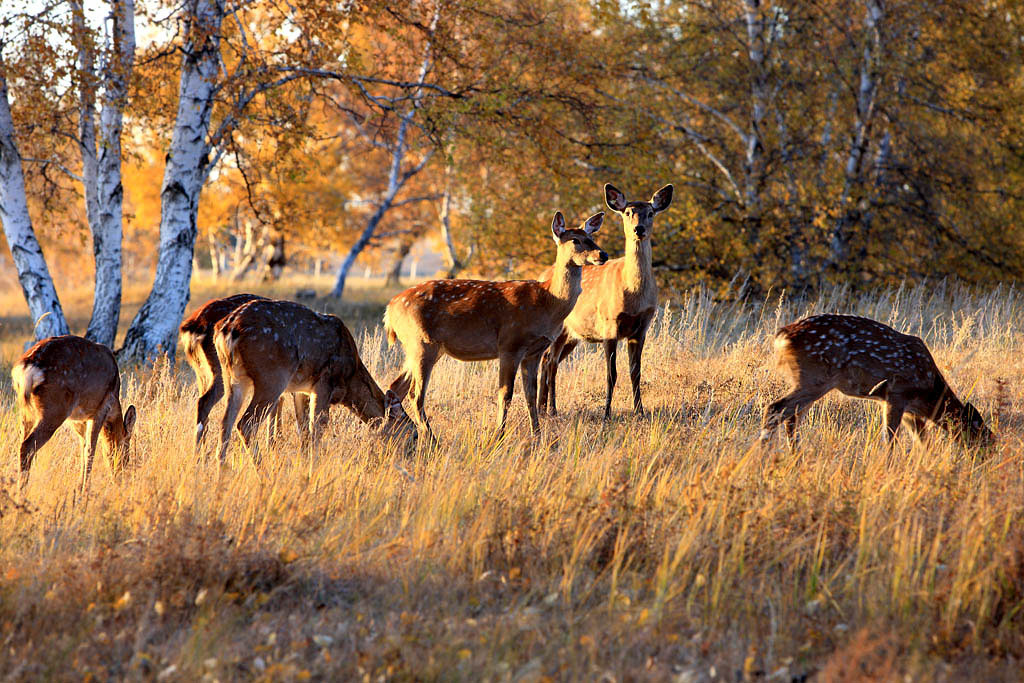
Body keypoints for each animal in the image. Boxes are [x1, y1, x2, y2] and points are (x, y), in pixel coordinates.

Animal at [11, 335, 137, 497]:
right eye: (127, 450)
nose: (121, 476)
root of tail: (26, 370)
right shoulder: (101, 408)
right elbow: (91, 449)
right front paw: (85, 490)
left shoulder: (78, 419)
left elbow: (83, 447)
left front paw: (78, 487)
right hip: (55, 409)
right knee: (27, 446)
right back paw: (22, 493)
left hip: (26, 411)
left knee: (22, 442)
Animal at [212, 296, 415, 462]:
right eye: (412, 433)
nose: (416, 454)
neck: (350, 379)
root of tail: (228, 330)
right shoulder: (325, 381)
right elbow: (317, 428)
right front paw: (311, 469)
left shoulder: (302, 389)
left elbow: (303, 430)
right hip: (272, 376)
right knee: (245, 425)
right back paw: (263, 474)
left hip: (232, 377)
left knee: (225, 423)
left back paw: (221, 476)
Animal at [385, 210, 606, 440]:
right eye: (575, 240)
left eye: (592, 237)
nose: (603, 255)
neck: (547, 301)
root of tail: (390, 309)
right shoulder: (510, 343)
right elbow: (505, 393)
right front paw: (498, 435)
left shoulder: (534, 352)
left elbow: (530, 394)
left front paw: (537, 435)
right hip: (421, 342)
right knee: (415, 393)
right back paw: (431, 437)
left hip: (424, 348)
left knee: (395, 387)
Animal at [536, 181, 671, 417]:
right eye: (628, 212)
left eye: (651, 212)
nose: (639, 229)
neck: (633, 294)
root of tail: (542, 275)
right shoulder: (609, 324)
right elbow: (611, 374)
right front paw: (606, 413)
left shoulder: (642, 327)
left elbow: (636, 372)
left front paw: (640, 411)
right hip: (559, 329)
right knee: (550, 362)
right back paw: (549, 409)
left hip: (573, 336)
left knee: (549, 362)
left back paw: (543, 408)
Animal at [761, 315, 991, 448]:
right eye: (985, 441)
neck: (929, 392)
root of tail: (782, 336)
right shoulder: (897, 393)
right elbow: (890, 439)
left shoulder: (909, 411)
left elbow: (922, 442)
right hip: (815, 378)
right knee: (775, 409)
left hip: (807, 380)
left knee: (791, 417)